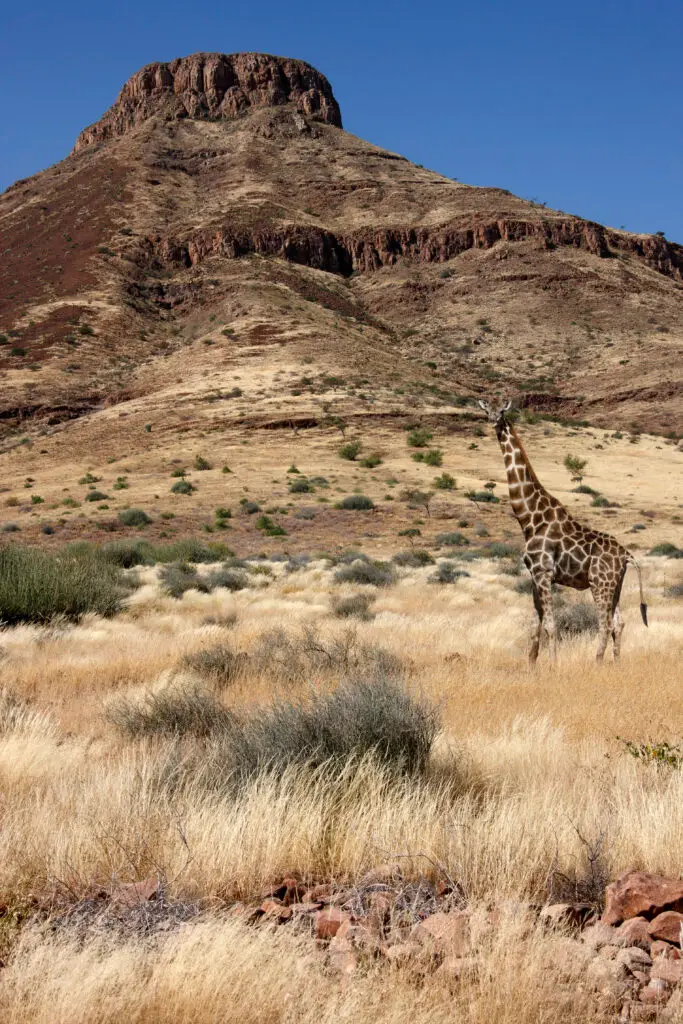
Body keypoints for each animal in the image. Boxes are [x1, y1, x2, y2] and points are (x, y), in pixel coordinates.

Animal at [477, 399, 647, 664]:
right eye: (487, 409)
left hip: (600, 583)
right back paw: (616, 664)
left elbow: (550, 625)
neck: (529, 519)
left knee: (605, 624)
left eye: (502, 410)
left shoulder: (544, 573)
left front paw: (553, 665)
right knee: (619, 623)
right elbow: (536, 625)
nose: (493, 420)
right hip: (615, 584)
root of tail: (627, 555)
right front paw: (532, 664)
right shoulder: (534, 575)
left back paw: (596, 663)